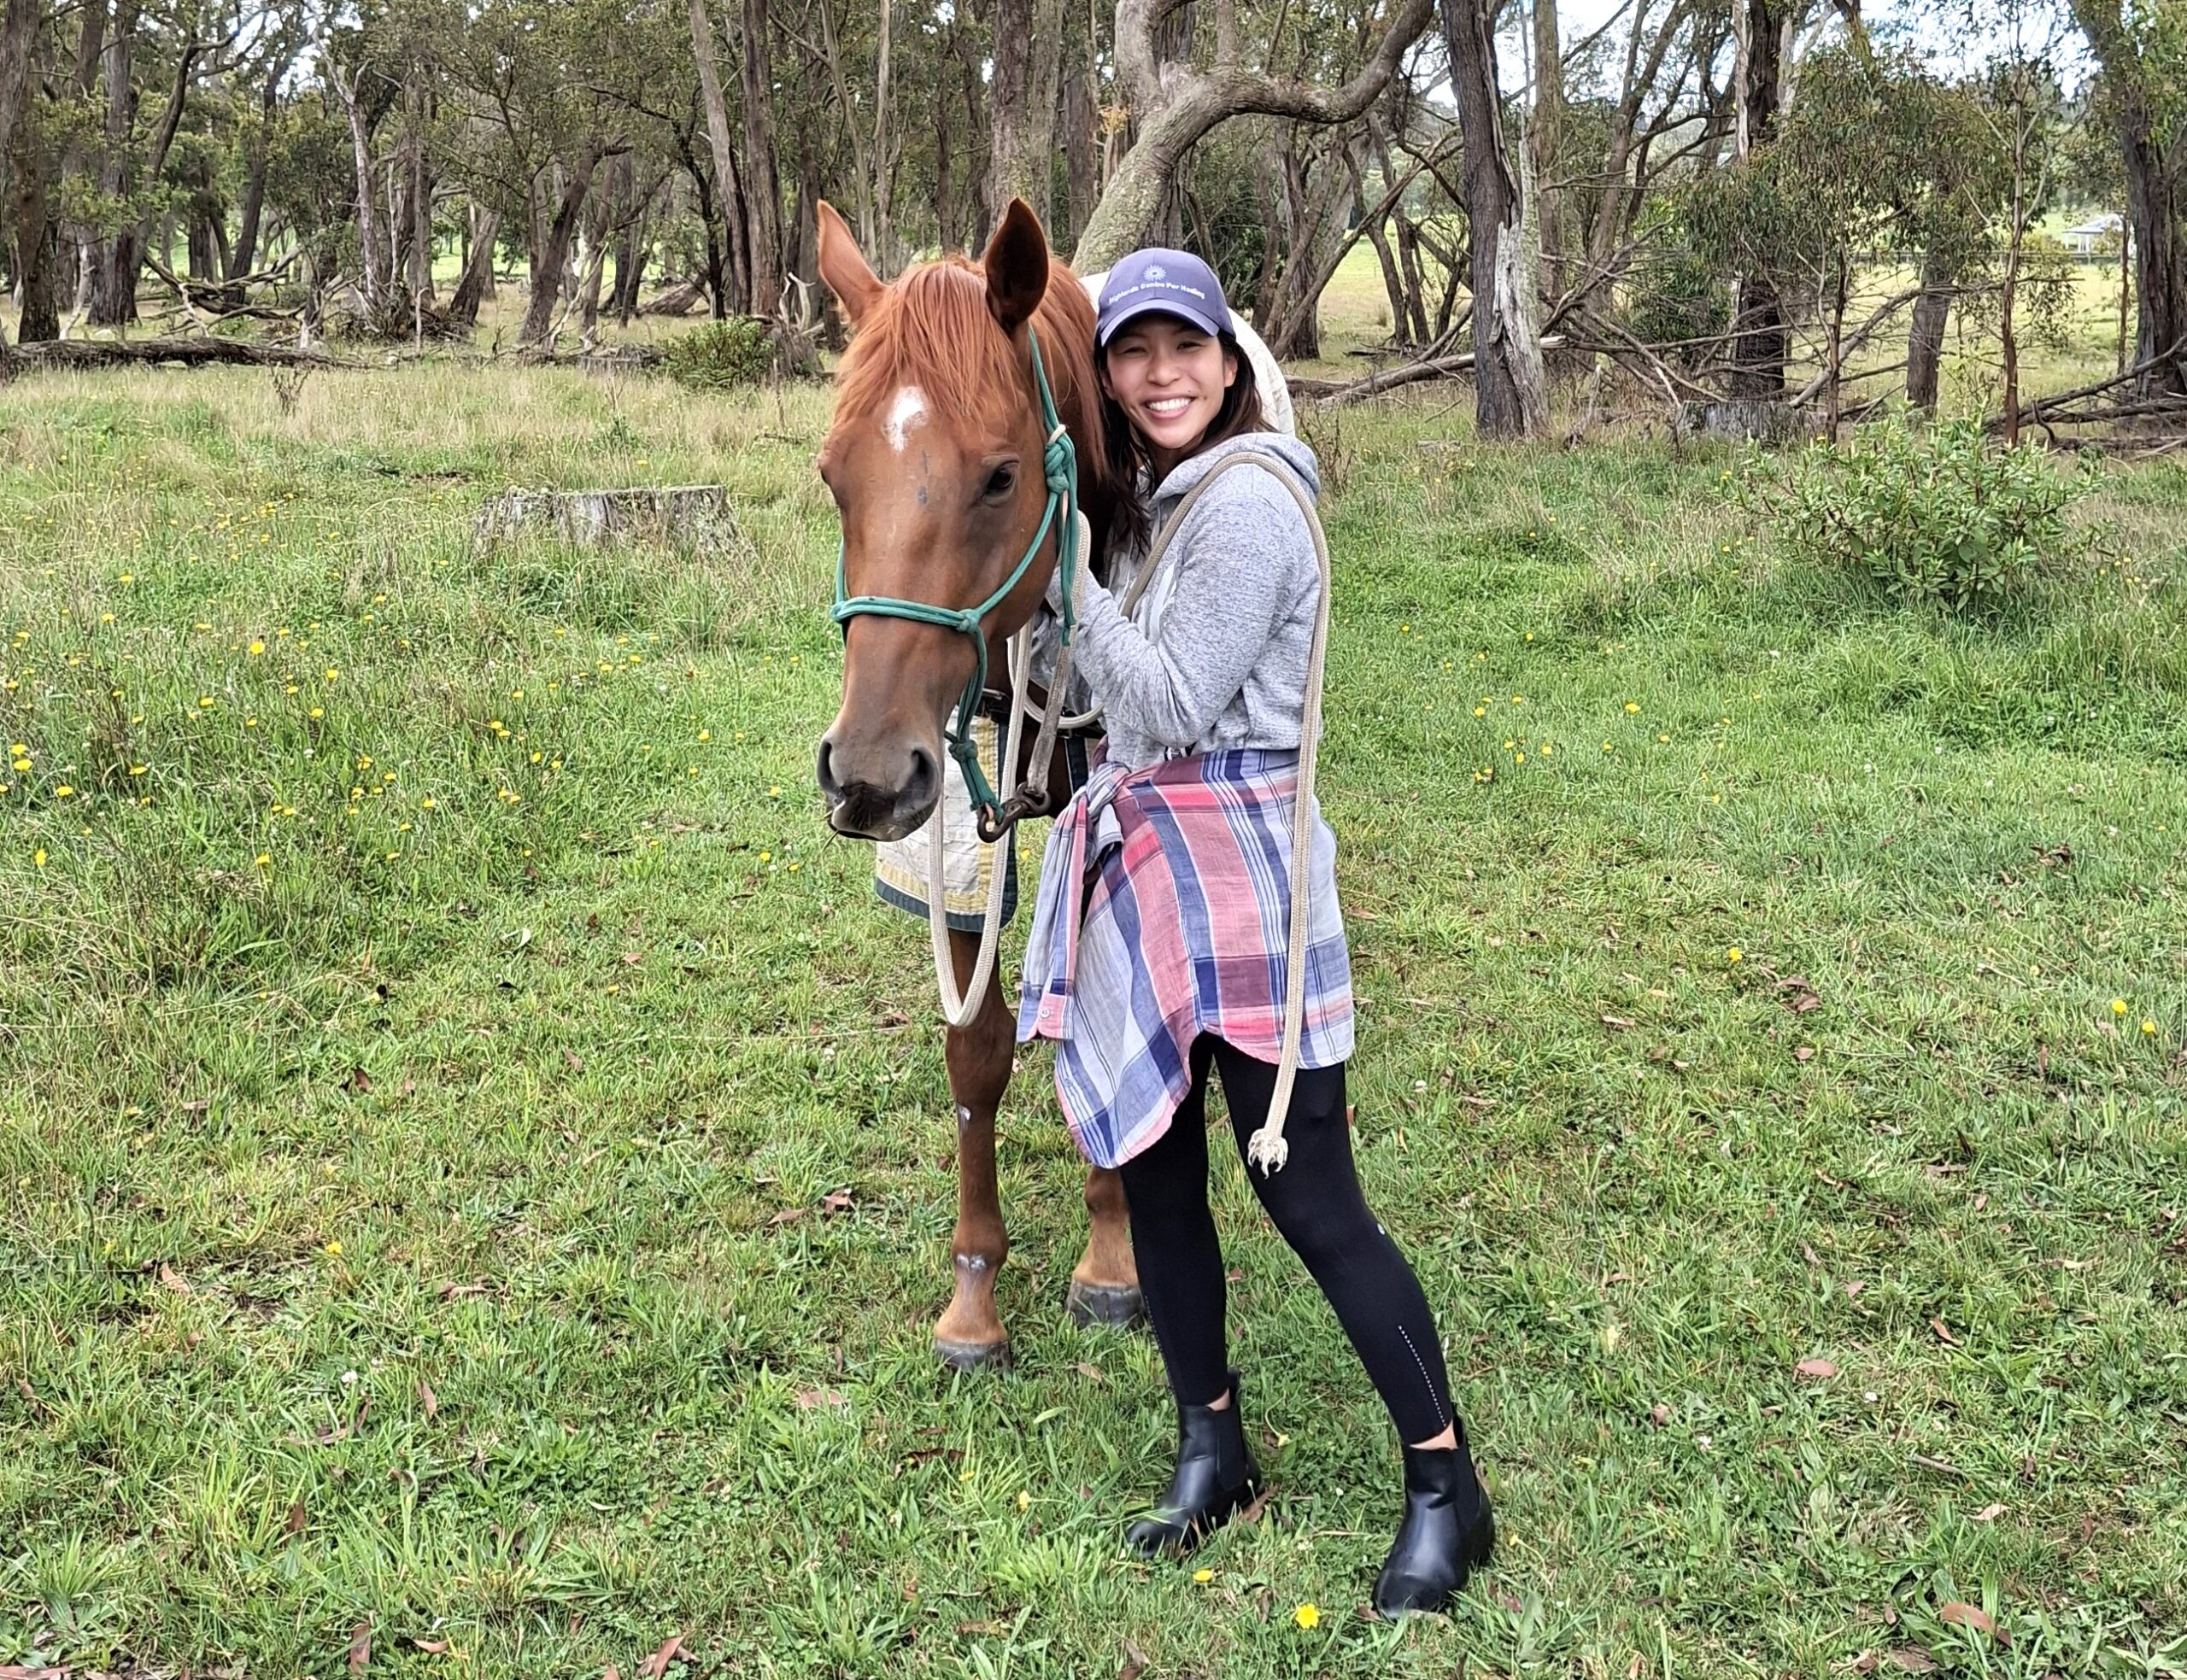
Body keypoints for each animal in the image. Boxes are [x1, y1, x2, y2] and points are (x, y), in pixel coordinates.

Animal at [812, 197, 1141, 1370]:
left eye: (1000, 477)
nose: (864, 775)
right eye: (832, 475)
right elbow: (976, 1055)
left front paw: (1112, 1255)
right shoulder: (946, 825)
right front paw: (974, 1293)